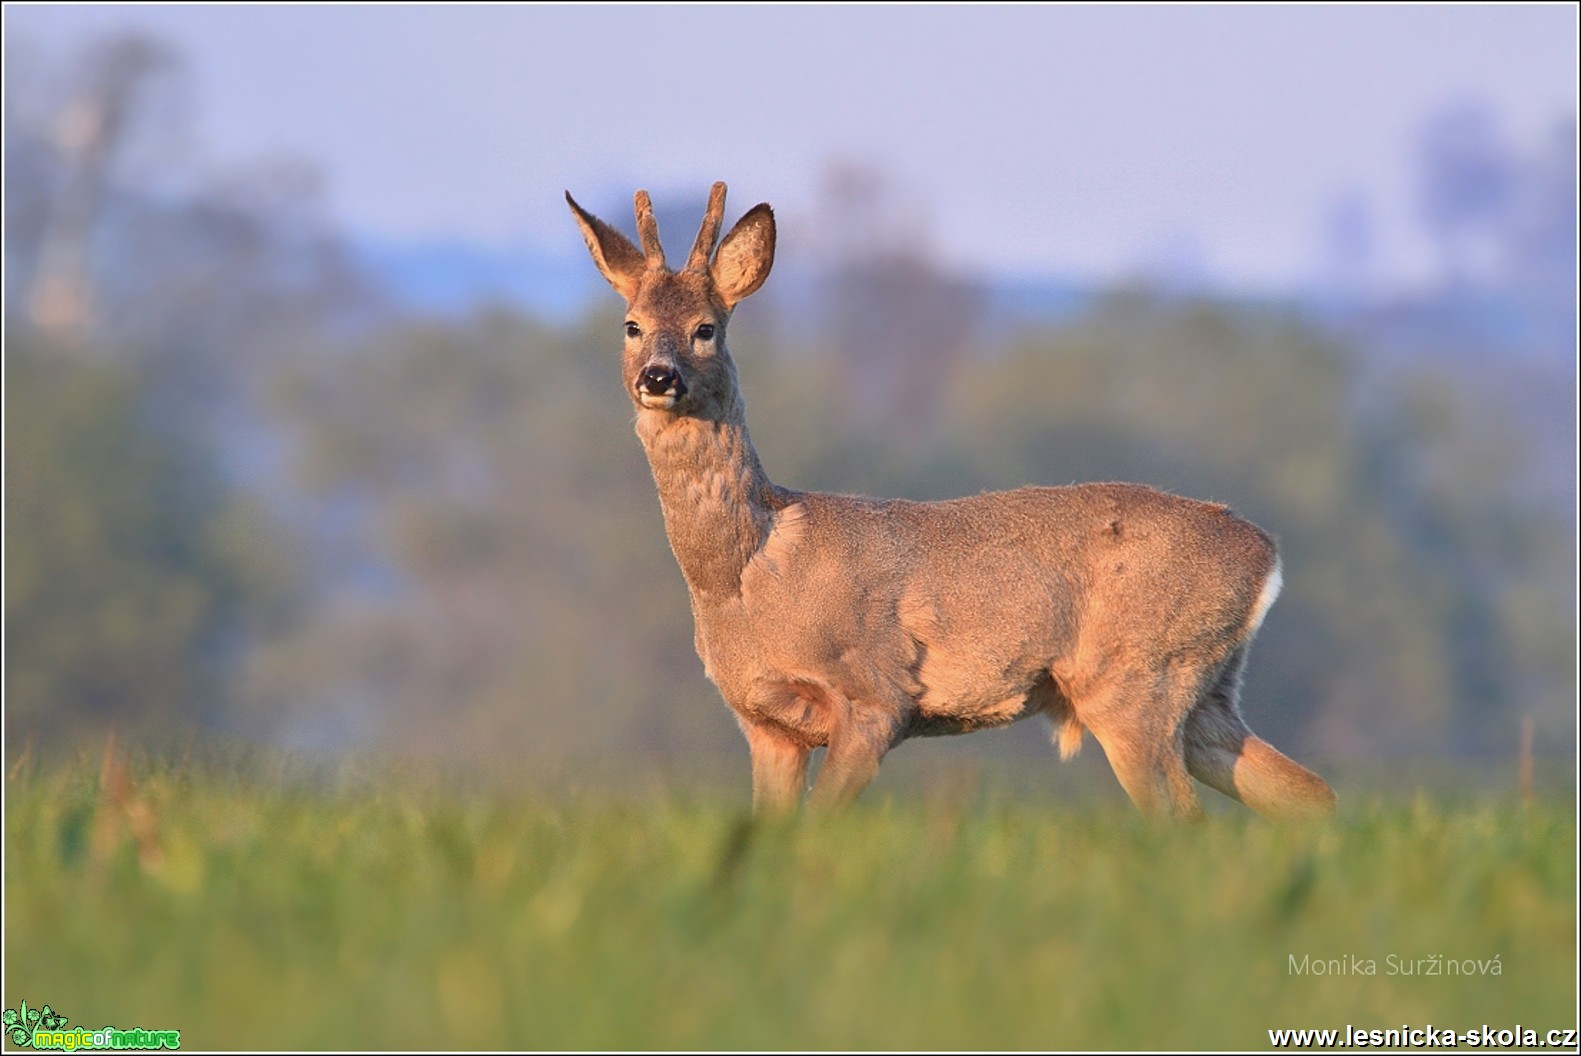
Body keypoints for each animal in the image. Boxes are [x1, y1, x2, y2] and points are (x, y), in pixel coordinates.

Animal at [569, 183, 1334, 822]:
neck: (749, 571)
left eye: (706, 328)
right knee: (1308, 792)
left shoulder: (874, 694)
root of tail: (1265, 553)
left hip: (1136, 678)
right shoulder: (767, 725)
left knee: (1184, 818)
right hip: (1203, 690)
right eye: (630, 325)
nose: (658, 377)